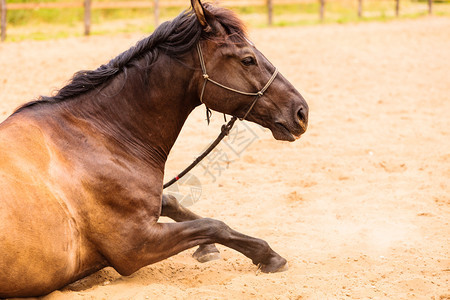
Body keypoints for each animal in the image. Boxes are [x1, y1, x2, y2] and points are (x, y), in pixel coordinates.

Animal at [0, 0, 306, 298]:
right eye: (247, 59)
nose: (301, 111)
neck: (99, 135)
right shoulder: (136, 247)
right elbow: (213, 225)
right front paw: (268, 256)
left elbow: (172, 202)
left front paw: (208, 249)